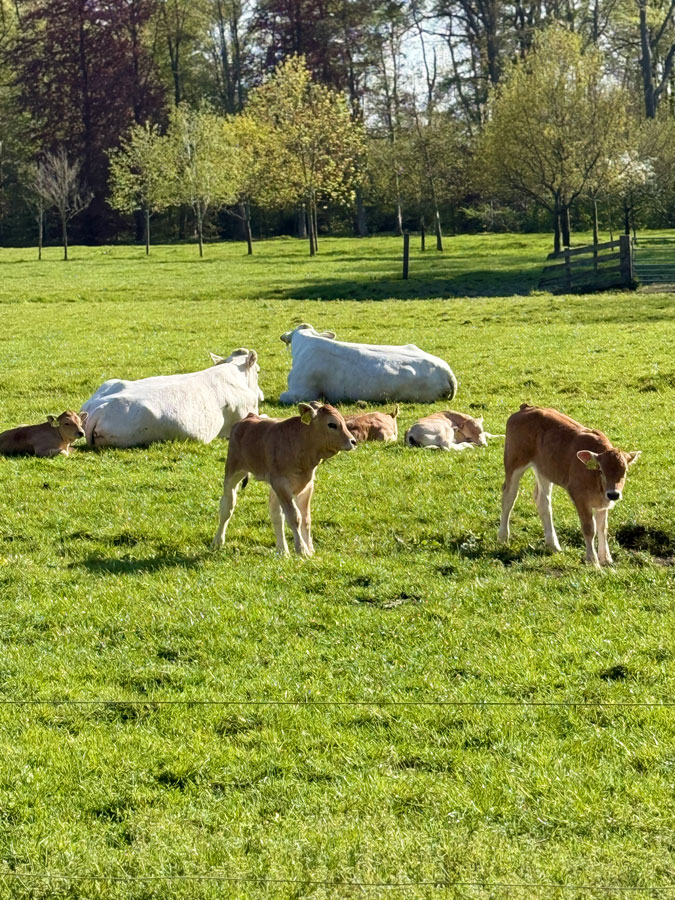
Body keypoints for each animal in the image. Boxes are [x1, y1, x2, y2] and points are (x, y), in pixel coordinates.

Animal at [211, 403, 356, 557]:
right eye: (332, 424)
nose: (353, 441)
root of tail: (248, 418)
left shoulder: (306, 485)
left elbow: (305, 518)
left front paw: (310, 549)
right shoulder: (282, 485)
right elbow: (294, 517)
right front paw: (302, 549)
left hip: (273, 485)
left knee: (276, 515)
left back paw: (282, 550)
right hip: (233, 471)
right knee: (227, 506)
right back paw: (218, 541)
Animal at [498, 404, 641, 567]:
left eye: (625, 471)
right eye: (601, 470)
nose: (613, 494)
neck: (596, 482)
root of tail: (527, 407)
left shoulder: (602, 503)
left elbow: (602, 528)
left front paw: (606, 559)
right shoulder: (580, 497)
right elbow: (589, 528)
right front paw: (593, 561)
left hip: (544, 470)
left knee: (543, 501)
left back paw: (553, 544)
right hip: (514, 462)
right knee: (509, 496)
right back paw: (503, 536)